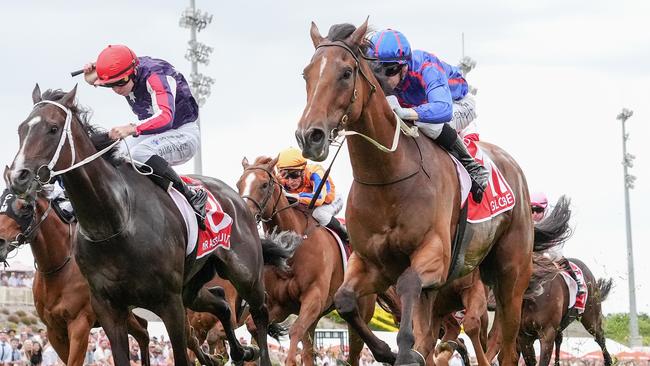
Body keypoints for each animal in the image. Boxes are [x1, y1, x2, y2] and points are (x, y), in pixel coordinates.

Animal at [0, 190, 151, 366]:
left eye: (25, 206)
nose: (0, 241)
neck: (59, 269)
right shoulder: (54, 329)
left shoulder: (80, 323)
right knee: (143, 329)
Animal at [237, 155, 374, 366]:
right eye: (239, 184)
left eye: (264, 184)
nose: (245, 215)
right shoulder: (281, 304)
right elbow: (253, 325)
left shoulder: (314, 296)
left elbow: (295, 331)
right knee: (309, 350)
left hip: (360, 314)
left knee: (353, 354)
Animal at [296, 20, 568, 366]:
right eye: (307, 73)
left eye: (345, 73)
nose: (309, 136)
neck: (388, 178)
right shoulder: (371, 263)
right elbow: (345, 301)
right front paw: (387, 350)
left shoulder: (434, 255)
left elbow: (409, 285)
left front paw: (406, 351)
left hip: (511, 277)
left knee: (506, 344)